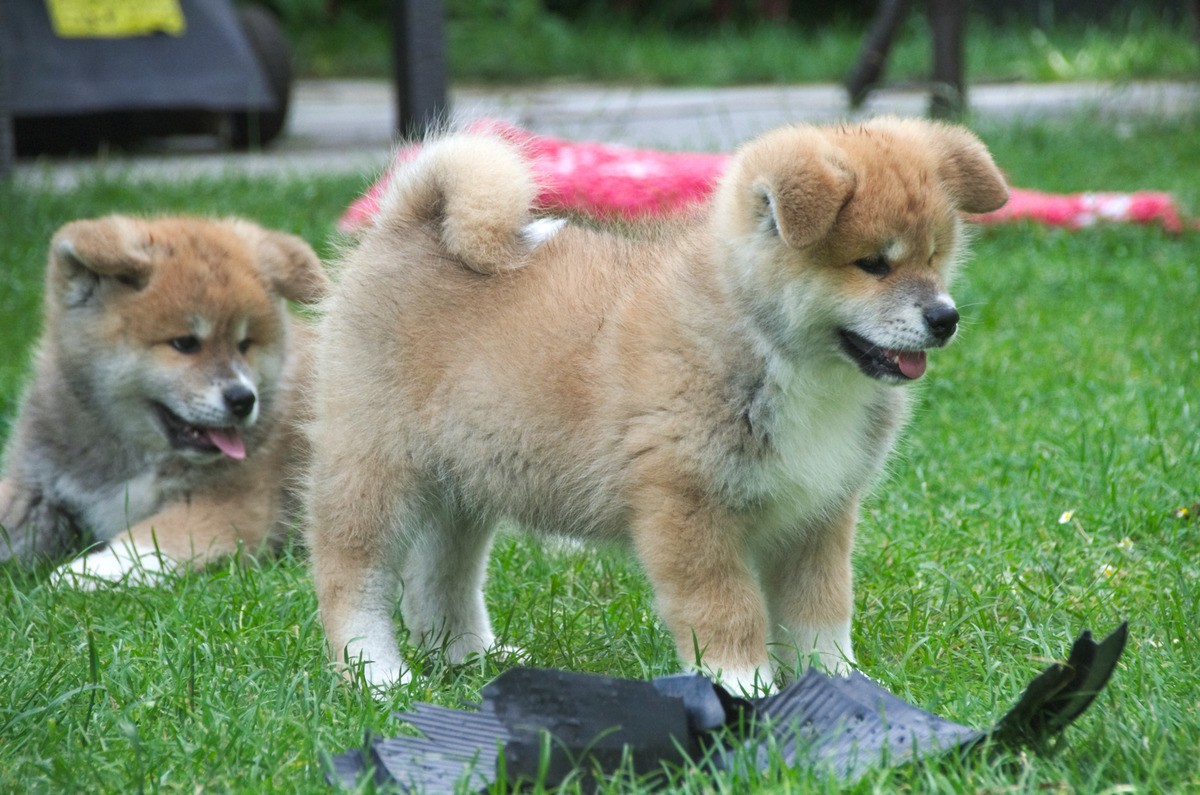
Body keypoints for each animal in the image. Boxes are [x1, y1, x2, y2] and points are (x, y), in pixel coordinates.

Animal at [0, 215, 328, 586]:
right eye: (185, 343)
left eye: (245, 344)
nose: (243, 399)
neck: (127, 452)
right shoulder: (33, 489)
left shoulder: (230, 505)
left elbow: (144, 543)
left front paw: (82, 574)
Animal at [306, 118, 1008, 693]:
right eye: (872, 265)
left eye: (935, 256)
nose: (945, 318)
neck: (772, 349)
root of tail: (406, 225)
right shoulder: (689, 509)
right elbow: (726, 610)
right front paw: (744, 688)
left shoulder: (819, 512)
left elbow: (822, 615)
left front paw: (839, 685)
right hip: (377, 470)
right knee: (352, 575)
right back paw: (378, 675)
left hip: (463, 482)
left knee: (441, 577)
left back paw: (469, 658)